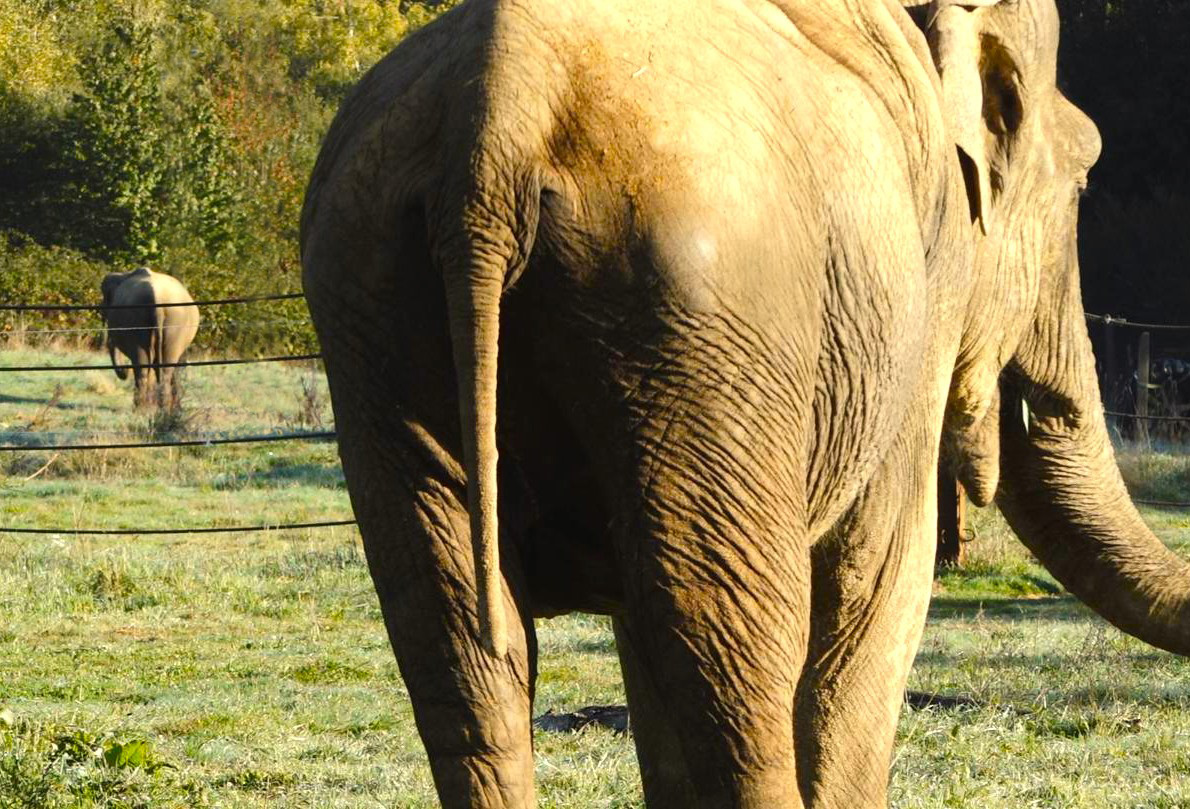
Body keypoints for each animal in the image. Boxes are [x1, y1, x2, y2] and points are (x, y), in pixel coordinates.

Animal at [99, 267, 200, 408]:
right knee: (164, 369)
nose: (125, 370)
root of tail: (158, 300)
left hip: (141, 322)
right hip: (173, 325)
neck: (123, 274)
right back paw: (162, 408)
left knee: (142, 368)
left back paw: (141, 409)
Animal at [299, 0, 1190, 806]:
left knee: (459, 643)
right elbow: (875, 585)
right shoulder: (917, 305)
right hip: (700, 306)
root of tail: (503, 106)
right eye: (1082, 180)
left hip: (371, 300)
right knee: (729, 648)